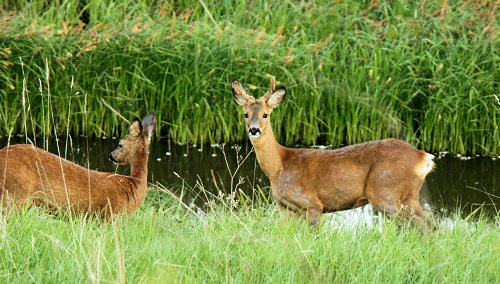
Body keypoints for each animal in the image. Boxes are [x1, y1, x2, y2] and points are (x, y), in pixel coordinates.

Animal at [232, 77, 436, 229]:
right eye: (246, 114)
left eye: (265, 114)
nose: (254, 130)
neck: (280, 165)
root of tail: (423, 157)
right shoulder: (285, 208)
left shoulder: (312, 204)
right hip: (409, 195)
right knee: (429, 224)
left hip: (386, 191)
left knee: (421, 225)